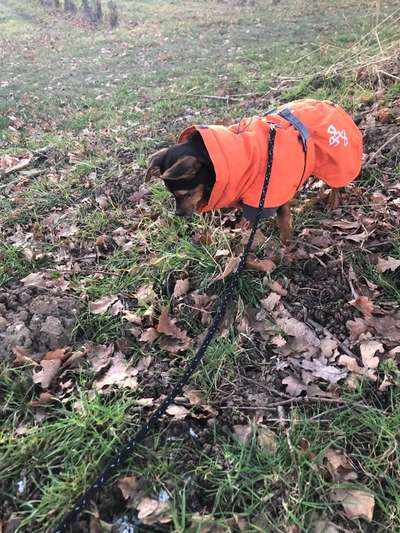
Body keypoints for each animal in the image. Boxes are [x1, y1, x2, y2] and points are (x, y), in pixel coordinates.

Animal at [146, 97, 362, 243]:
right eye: (172, 195)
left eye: (186, 193)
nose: (178, 214)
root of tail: (332, 104)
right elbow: (248, 214)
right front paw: (245, 227)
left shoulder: (272, 195)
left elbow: (284, 225)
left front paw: (287, 249)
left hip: (335, 160)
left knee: (336, 183)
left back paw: (333, 200)